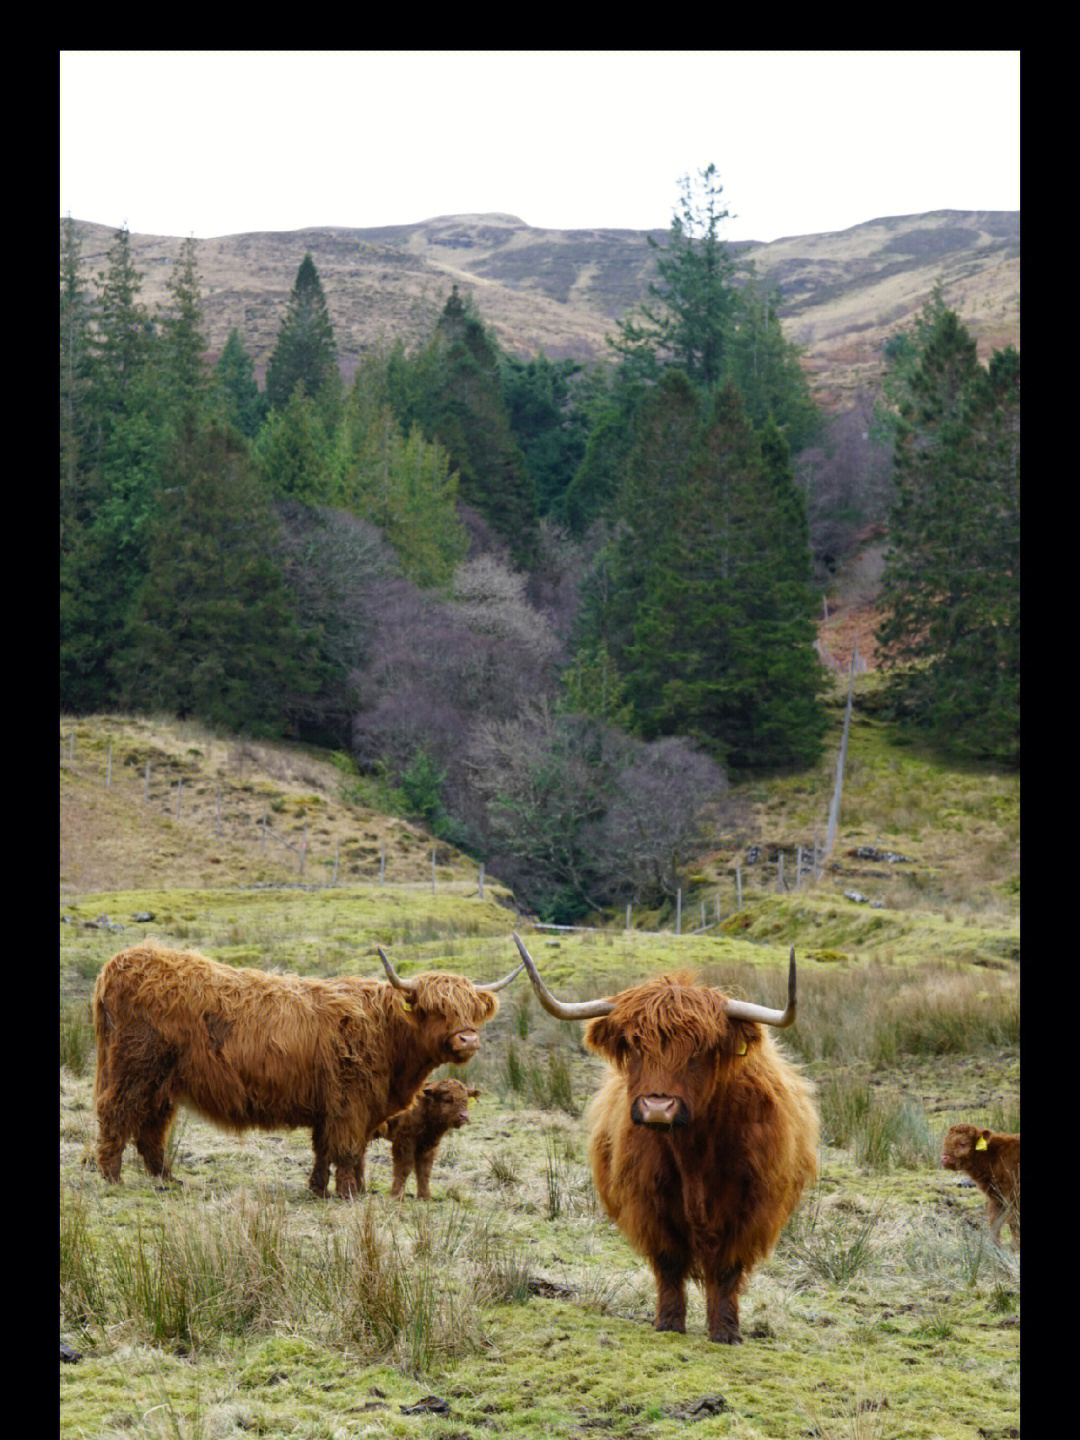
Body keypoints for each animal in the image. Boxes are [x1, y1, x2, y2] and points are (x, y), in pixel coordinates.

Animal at [91, 938, 521, 1198]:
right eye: (436, 1009)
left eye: (472, 1010)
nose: (468, 1040)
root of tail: (122, 960)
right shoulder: (350, 1102)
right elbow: (347, 1150)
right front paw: (348, 1195)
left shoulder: (339, 1106)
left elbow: (326, 1149)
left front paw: (321, 1189)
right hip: (135, 1068)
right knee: (116, 1112)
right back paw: (111, 1177)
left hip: (162, 1081)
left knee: (151, 1127)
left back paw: (167, 1179)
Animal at [512, 927, 817, 1342]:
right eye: (633, 1045)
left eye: (700, 1050)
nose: (658, 1108)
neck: (694, 1154)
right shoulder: (649, 1201)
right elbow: (670, 1263)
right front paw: (669, 1323)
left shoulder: (750, 1206)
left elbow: (726, 1269)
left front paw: (725, 1332)